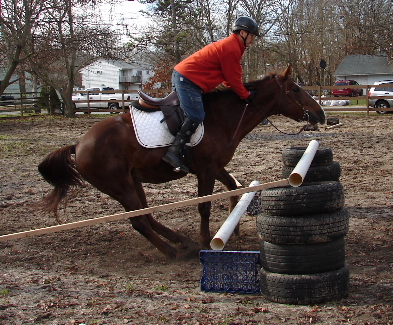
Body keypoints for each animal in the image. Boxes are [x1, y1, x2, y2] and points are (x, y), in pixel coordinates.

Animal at [38, 66, 324, 256]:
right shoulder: (206, 170)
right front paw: (205, 239)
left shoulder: (215, 167)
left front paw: (233, 226)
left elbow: (233, 187)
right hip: (119, 187)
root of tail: (79, 145)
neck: (223, 118)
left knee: (146, 216)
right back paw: (172, 252)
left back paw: (176, 240)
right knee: (139, 221)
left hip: (133, 182)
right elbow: (204, 206)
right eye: (295, 90)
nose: (320, 114)